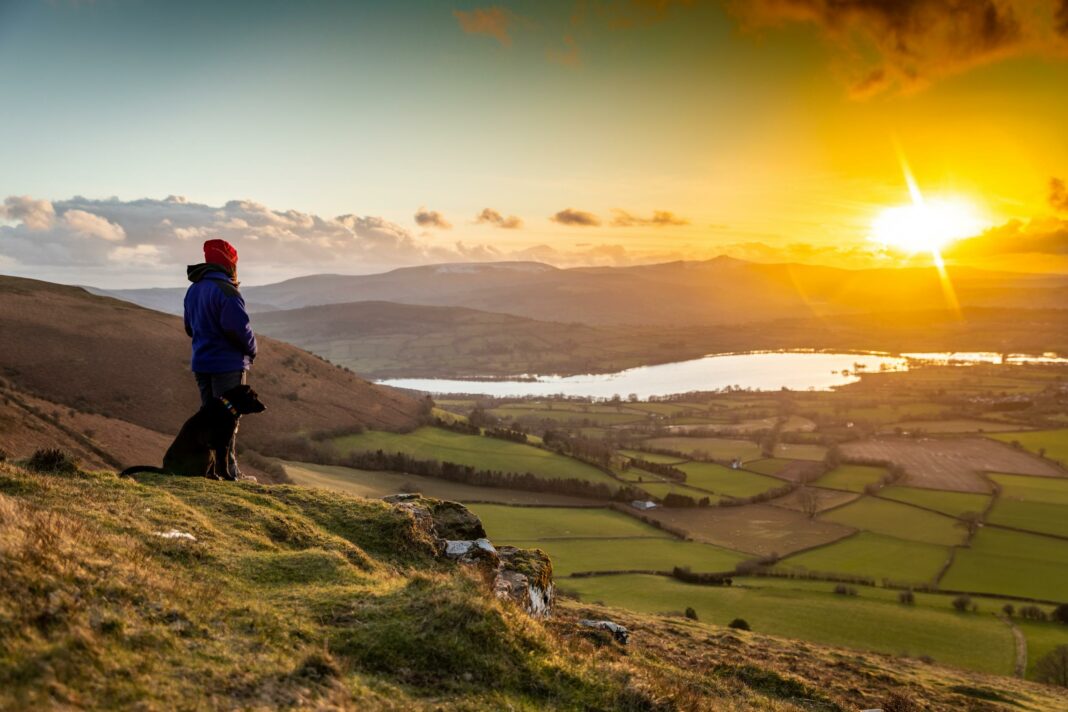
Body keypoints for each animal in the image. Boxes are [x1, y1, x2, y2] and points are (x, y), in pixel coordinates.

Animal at [117, 384, 264, 478]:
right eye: (254, 397)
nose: (265, 407)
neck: (228, 406)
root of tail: (166, 468)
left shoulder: (216, 446)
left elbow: (216, 465)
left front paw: (217, 475)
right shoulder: (223, 444)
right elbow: (224, 463)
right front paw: (229, 477)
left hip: (209, 450)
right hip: (206, 451)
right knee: (199, 474)